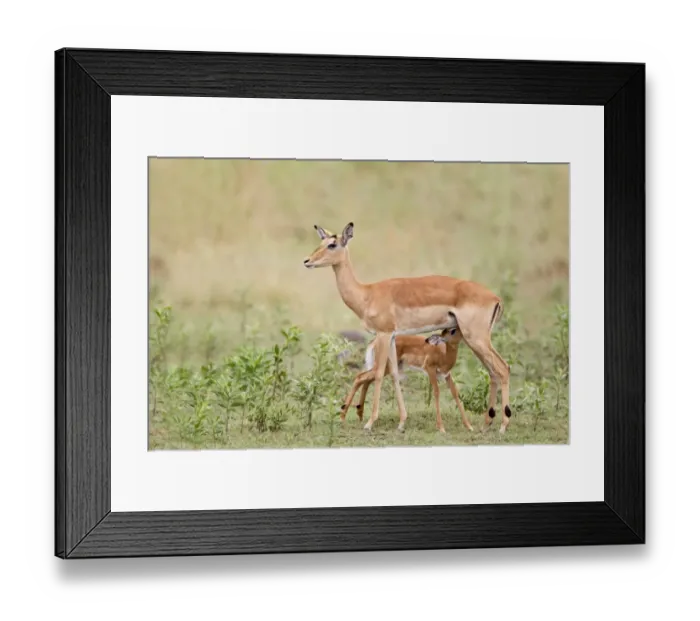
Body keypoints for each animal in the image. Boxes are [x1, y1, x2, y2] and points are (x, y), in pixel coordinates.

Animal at [339, 326, 472, 433]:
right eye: (453, 330)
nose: (465, 331)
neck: (443, 354)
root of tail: (375, 341)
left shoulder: (447, 375)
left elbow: (455, 393)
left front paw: (469, 426)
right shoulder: (430, 370)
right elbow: (436, 392)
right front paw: (441, 428)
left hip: (385, 369)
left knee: (365, 380)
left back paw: (359, 413)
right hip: (384, 367)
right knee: (360, 377)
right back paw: (343, 417)